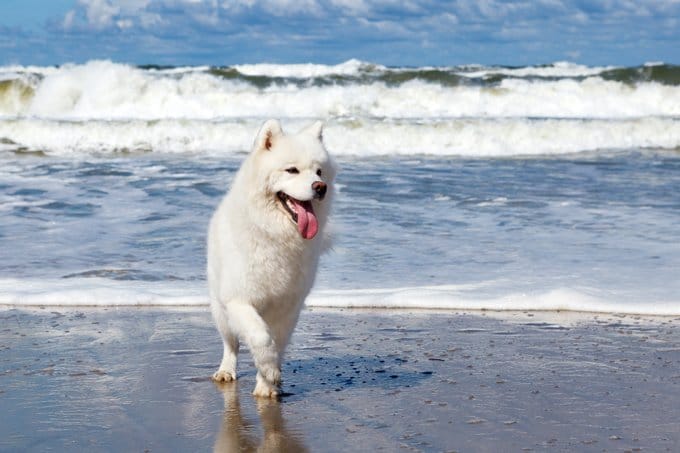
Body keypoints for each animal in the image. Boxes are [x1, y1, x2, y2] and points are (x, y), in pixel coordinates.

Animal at [207, 119, 334, 396]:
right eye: (292, 170)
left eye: (319, 172)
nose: (320, 187)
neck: (275, 234)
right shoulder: (239, 300)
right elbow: (260, 337)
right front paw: (269, 371)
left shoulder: (289, 307)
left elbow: (278, 342)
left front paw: (267, 384)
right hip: (220, 309)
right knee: (230, 343)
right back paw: (226, 370)